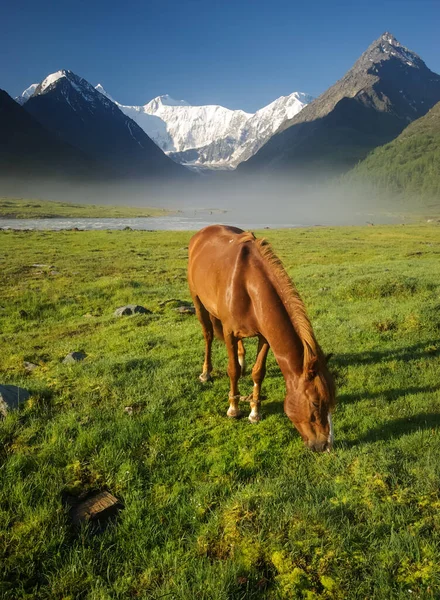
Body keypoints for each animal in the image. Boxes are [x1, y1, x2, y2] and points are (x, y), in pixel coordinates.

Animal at [187, 224, 336, 450]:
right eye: (315, 403)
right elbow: (232, 370)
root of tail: (202, 233)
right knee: (208, 335)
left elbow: (258, 372)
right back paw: (206, 372)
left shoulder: (265, 337)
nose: (326, 445)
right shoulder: (229, 333)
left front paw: (254, 412)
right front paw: (233, 408)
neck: (248, 285)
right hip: (198, 301)